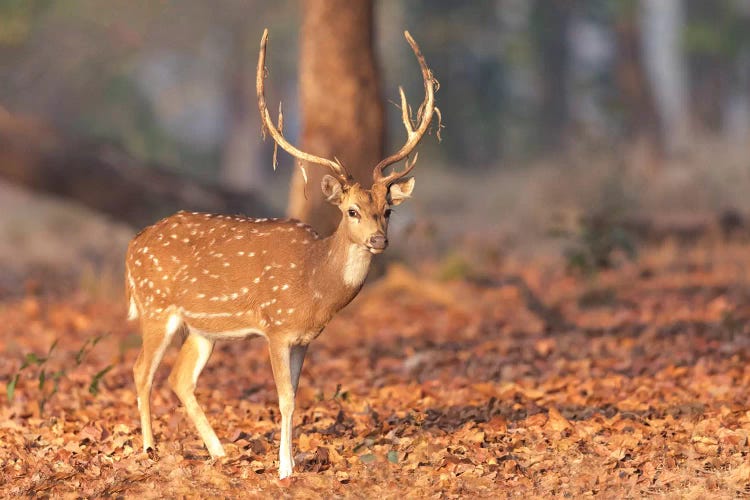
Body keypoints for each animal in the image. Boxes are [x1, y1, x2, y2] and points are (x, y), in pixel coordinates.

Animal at [125, 28, 438, 480]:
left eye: (389, 210)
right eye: (351, 210)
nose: (379, 240)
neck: (314, 286)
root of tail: (132, 245)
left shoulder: (305, 339)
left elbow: (297, 395)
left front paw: (289, 462)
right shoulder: (275, 327)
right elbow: (285, 397)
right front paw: (286, 469)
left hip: (202, 329)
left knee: (180, 379)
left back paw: (220, 452)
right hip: (155, 307)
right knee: (141, 371)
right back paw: (150, 448)